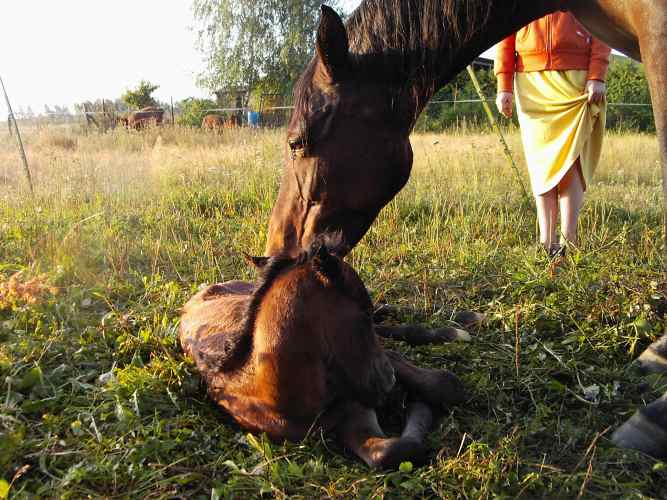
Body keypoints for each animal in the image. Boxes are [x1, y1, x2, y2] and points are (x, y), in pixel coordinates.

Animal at [177, 234, 470, 468]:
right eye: (361, 314)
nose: (389, 382)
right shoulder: (348, 419)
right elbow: (390, 452)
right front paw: (416, 405)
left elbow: (446, 384)